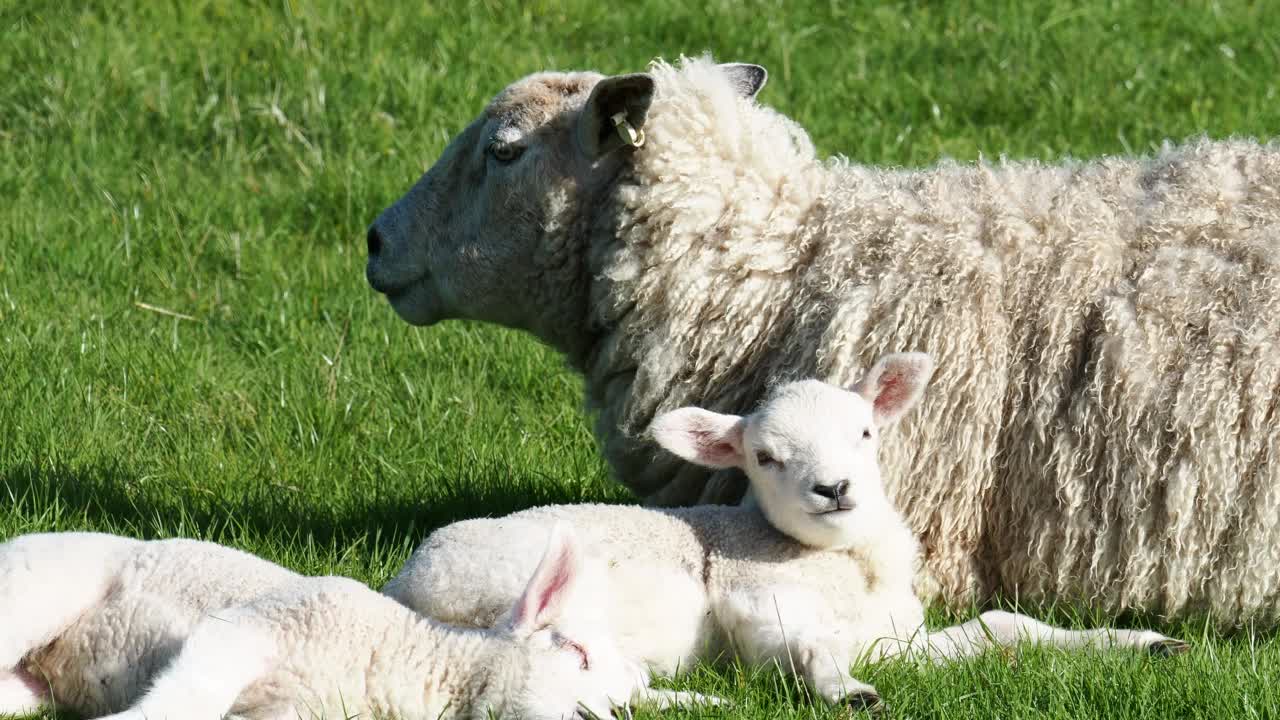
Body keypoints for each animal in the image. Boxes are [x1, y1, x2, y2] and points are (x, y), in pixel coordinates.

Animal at [0, 520, 640, 717]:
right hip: (37, 592)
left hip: (27, 689)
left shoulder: (287, 712)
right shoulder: (262, 623)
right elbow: (189, 698)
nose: (603, 714)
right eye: (577, 653)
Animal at [381, 351, 1187, 707]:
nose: (834, 488)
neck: (850, 567)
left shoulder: (896, 636)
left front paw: (1139, 644)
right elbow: (797, 642)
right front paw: (843, 690)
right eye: (764, 458)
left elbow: (1001, 628)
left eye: (865, 431)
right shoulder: (750, 596)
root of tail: (400, 584)